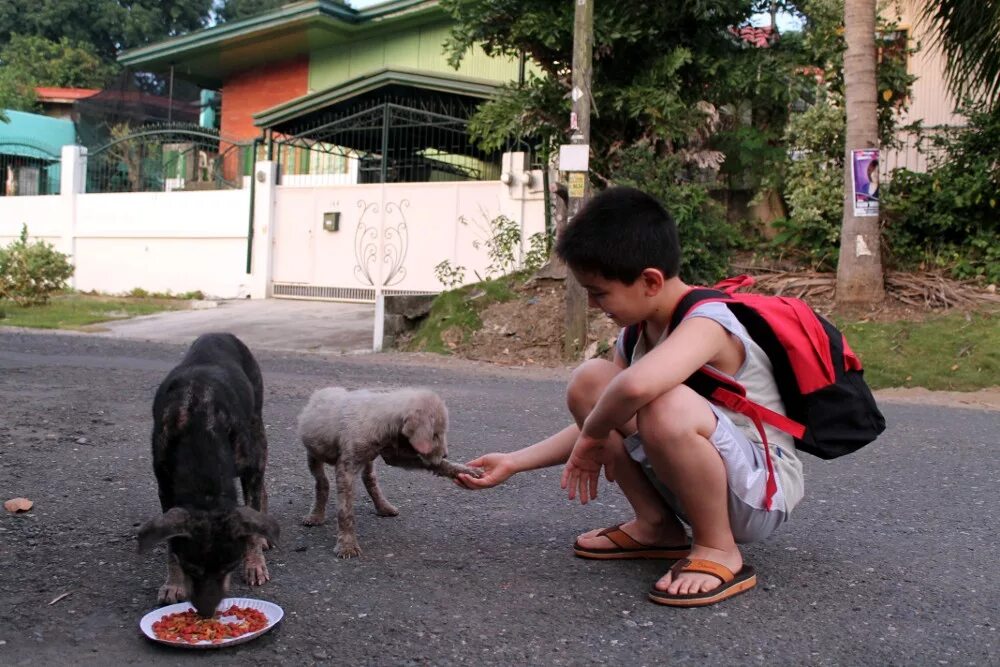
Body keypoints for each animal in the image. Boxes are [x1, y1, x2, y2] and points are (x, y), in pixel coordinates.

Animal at [137, 332, 278, 620]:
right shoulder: (165, 486)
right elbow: (172, 543)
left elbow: (250, 516)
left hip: (257, 426)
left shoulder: (249, 467)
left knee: (260, 487)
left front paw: (254, 563)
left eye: (229, 567)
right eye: (191, 568)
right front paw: (173, 584)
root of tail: (220, 334)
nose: (206, 611)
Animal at [298, 386, 482, 560]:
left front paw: (468, 471)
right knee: (322, 483)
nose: (445, 454)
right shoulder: (346, 468)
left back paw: (384, 507)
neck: (380, 416)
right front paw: (347, 545)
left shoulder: (394, 455)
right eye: (435, 434)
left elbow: (437, 465)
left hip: (368, 461)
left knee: (370, 480)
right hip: (313, 455)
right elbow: (345, 510)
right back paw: (315, 515)